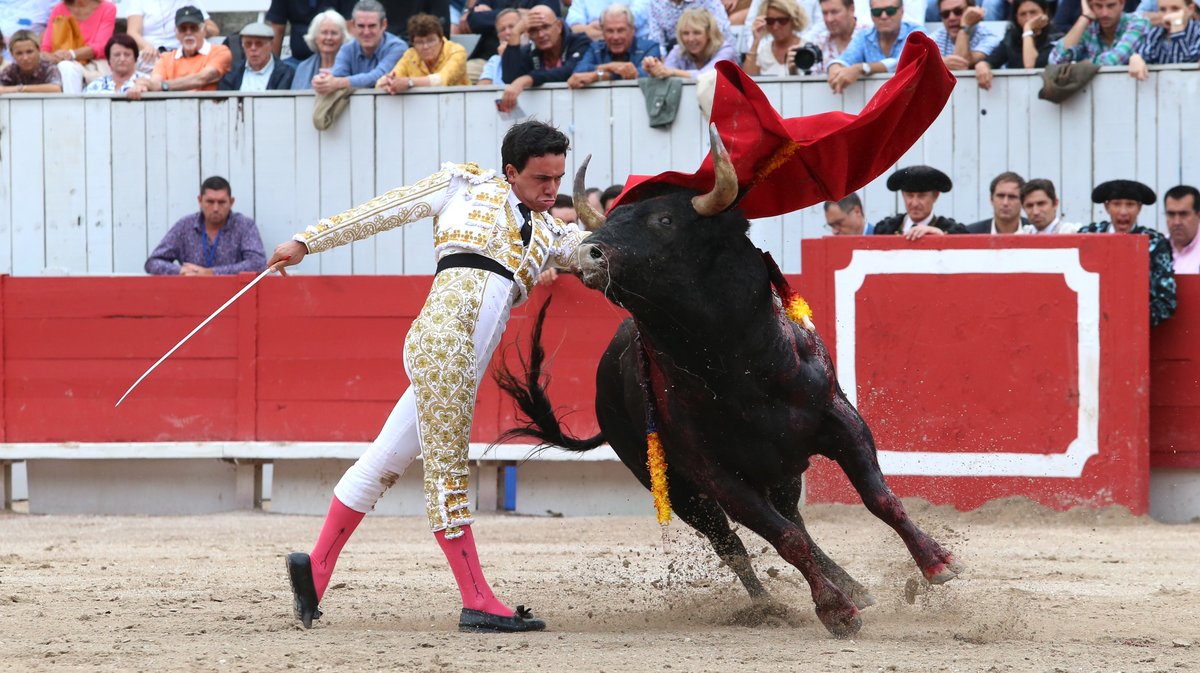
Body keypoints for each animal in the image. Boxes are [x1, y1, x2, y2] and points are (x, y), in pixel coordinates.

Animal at [492, 141, 960, 633]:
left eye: (664, 220)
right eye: (614, 218)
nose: (587, 255)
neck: (739, 368)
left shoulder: (843, 422)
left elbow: (879, 498)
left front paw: (937, 563)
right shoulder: (720, 478)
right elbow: (784, 540)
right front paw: (835, 610)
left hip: (781, 470)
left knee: (794, 518)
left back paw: (853, 586)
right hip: (680, 489)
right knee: (737, 544)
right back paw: (773, 604)